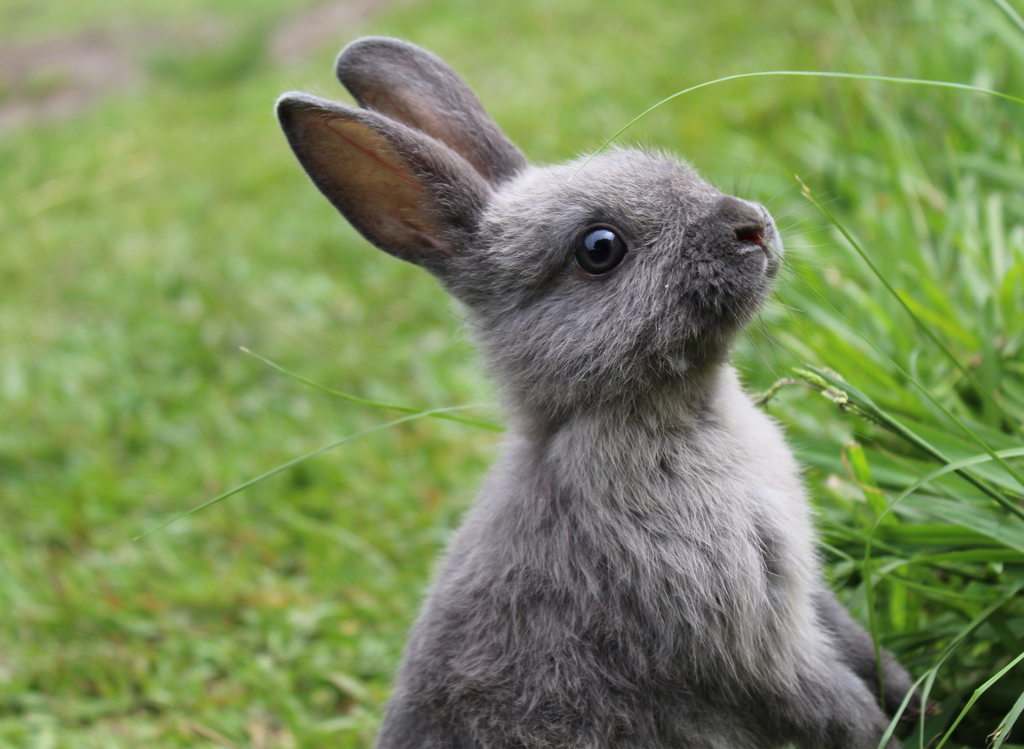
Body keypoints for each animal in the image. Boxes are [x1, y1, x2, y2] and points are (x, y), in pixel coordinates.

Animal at [274, 36, 921, 749]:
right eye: (600, 248)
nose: (753, 226)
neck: (671, 413)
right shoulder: (752, 641)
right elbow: (827, 702)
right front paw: (889, 728)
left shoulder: (799, 598)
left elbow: (855, 643)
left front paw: (913, 695)